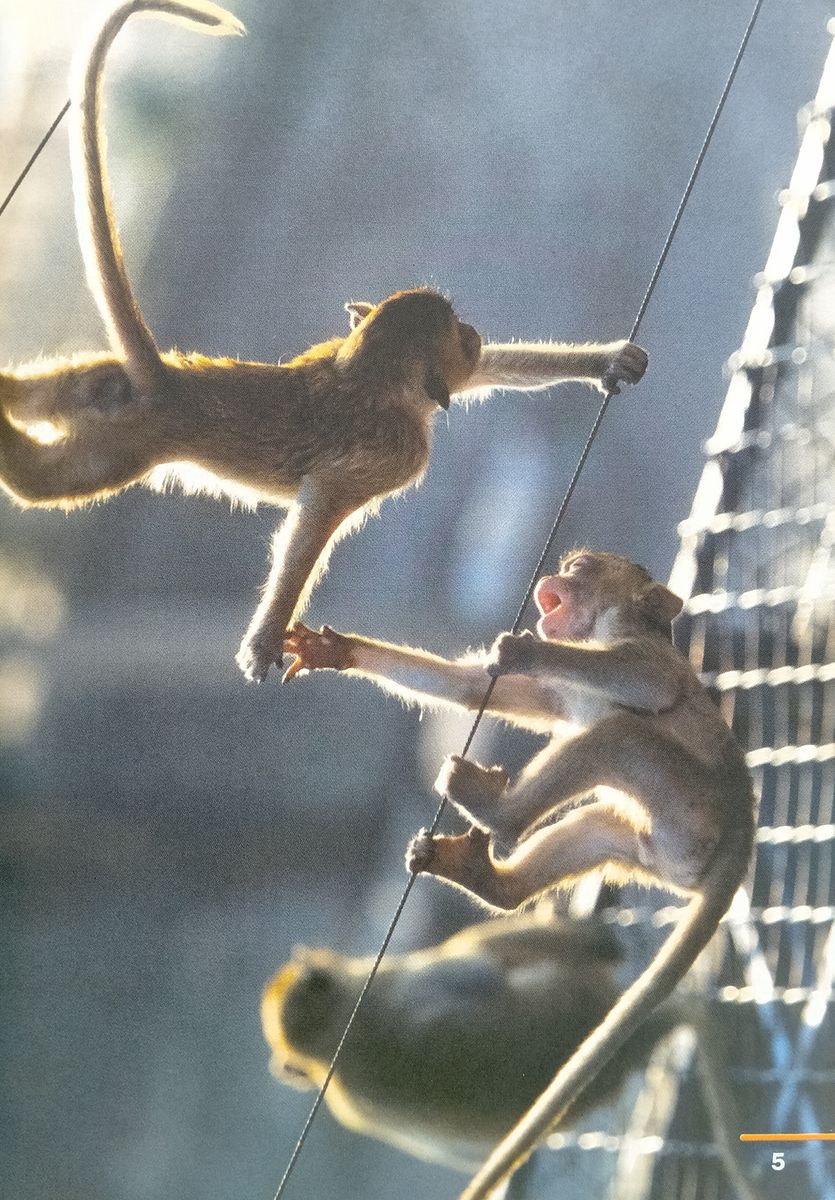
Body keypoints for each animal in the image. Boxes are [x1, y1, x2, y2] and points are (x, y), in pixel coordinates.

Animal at [0, 0, 649, 681]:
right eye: (458, 334)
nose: (473, 334)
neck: (366, 372)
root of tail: (165, 378)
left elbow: (487, 375)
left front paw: (609, 361)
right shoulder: (398, 452)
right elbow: (318, 509)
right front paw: (264, 640)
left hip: (104, 387)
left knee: (55, 395)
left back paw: (6, 392)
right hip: (128, 442)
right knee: (46, 483)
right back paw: (11, 451)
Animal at [282, 549, 755, 1199]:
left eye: (583, 567)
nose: (558, 573)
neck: (599, 633)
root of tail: (742, 824)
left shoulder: (641, 649)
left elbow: (648, 683)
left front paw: (525, 651)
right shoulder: (564, 692)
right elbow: (471, 689)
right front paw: (339, 650)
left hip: (689, 807)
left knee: (621, 735)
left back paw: (497, 814)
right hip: (659, 849)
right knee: (597, 823)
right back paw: (491, 879)